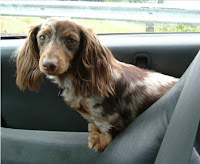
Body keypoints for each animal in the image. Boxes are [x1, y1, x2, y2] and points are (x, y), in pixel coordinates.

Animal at [15, 17, 178, 151]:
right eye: (42, 37)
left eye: (71, 40)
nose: (49, 65)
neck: (78, 81)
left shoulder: (109, 116)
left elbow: (106, 129)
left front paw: (100, 140)